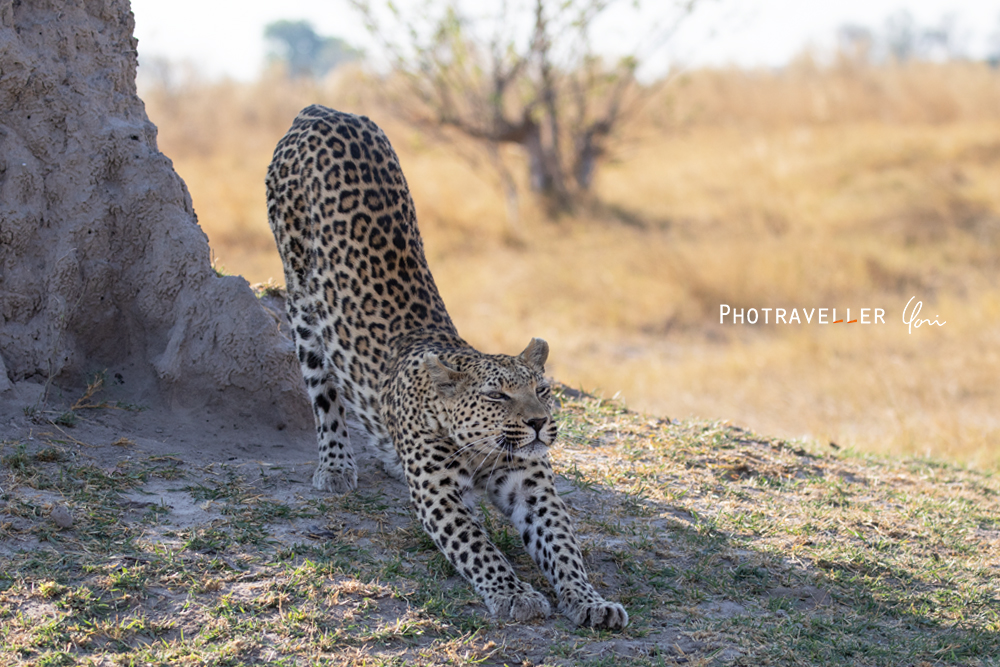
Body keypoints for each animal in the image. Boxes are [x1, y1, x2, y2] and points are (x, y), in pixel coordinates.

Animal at [266, 105, 624, 632]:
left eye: (543, 390)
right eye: (497, 396)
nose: (540, 424)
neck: (481, 452)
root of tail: (323, 110)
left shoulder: (532, 487)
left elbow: (563, 546)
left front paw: (589, 599)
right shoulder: (440, 494)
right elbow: (479, 548)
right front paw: (515, 595)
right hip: (302, 301)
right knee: (323, 390)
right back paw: (336, 465)